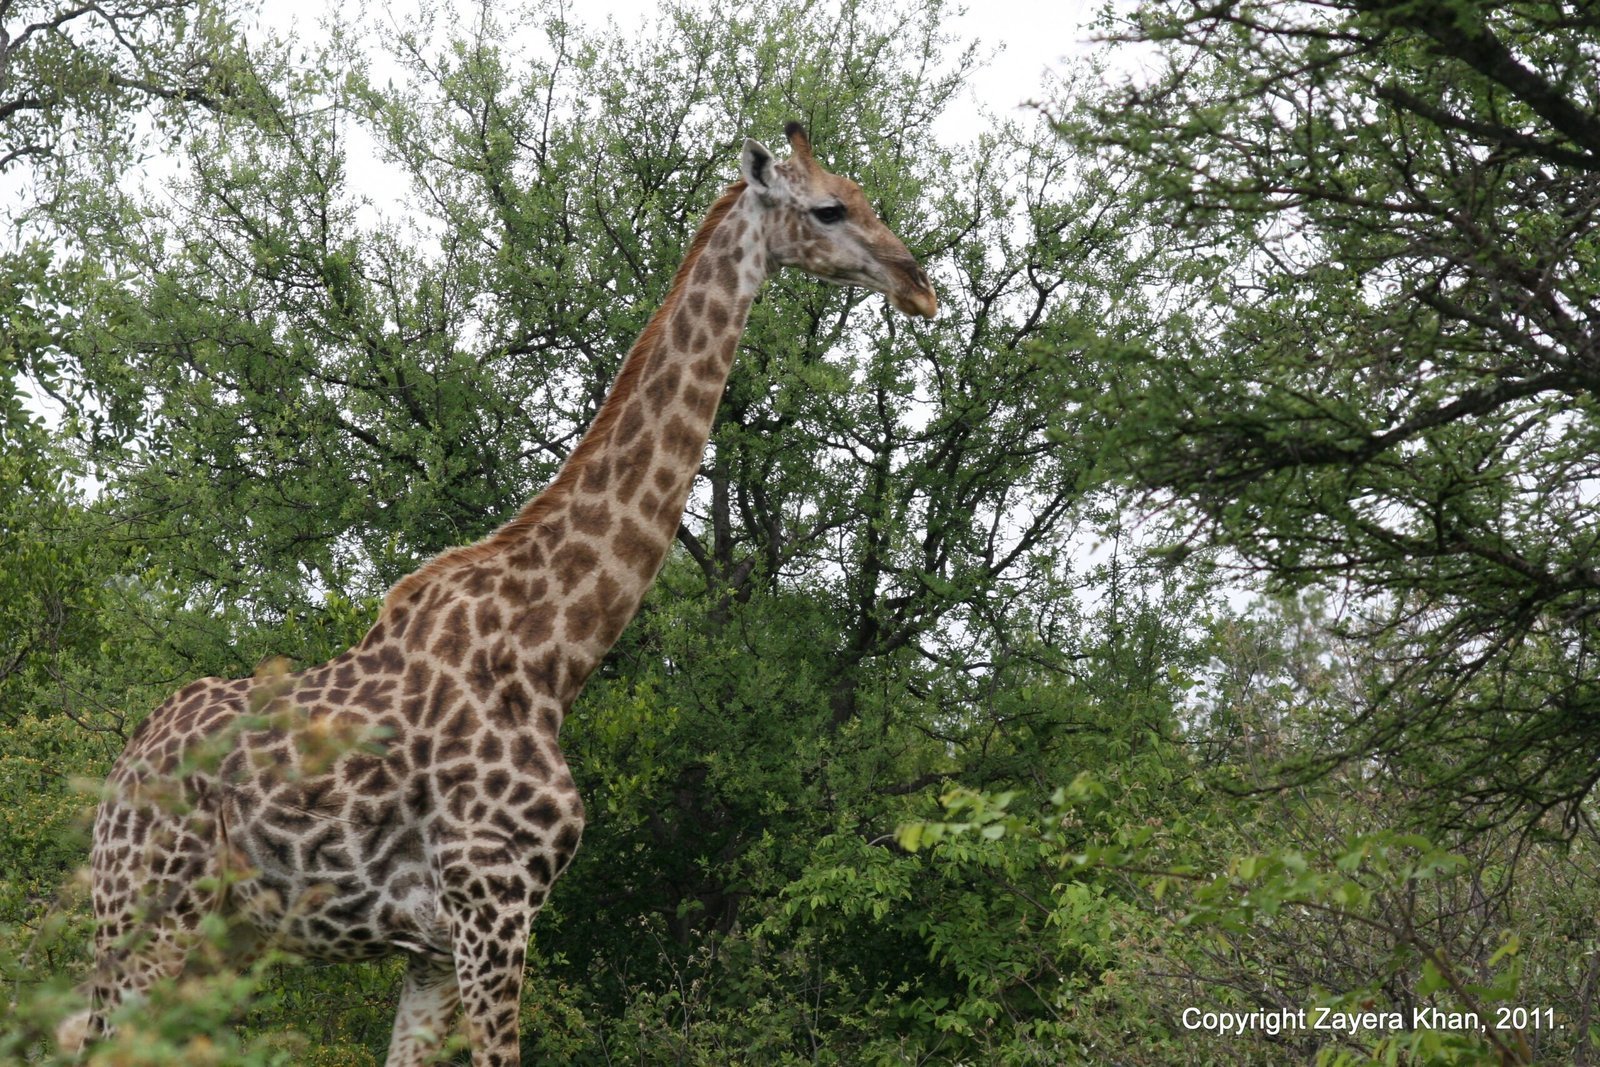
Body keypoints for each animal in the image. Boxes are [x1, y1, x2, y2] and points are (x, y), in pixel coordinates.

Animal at [74, 124, 936, 1065]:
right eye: (830, 207)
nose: (919, 283)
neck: (552, 649)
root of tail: (123, 766)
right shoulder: (494, 904)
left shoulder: (436, 943)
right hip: (149, 914)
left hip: (222, 933)